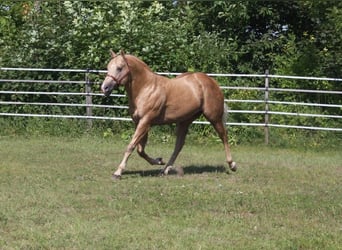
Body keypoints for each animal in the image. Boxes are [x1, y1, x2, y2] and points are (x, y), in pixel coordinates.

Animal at [100, 48, 236, 179]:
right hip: (184, 121)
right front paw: (159, 161)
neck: (146, 88)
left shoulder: (145, 122)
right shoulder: (140, 123)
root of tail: (212, 81)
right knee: (179, 145)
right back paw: (165, 170)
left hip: (214, 118)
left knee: (224, 136)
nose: (104, 88)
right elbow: (140, 150)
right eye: (108, 67)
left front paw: (117, 172)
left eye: (119, 68)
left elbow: (131, 146)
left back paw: (232, 164)